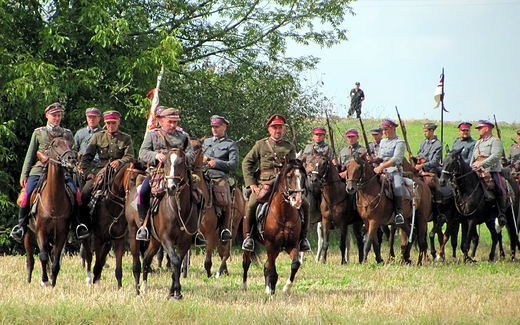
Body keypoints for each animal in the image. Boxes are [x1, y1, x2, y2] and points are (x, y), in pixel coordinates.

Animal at [23, 138, 77, 284]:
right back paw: (29, 280)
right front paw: (45, 281)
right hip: (29, 233)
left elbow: (56, 260)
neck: (54, 202)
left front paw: (53, 283)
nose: (71, 158)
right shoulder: (41, 231)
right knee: (30, 259)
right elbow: (43, 256)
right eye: (56, 145)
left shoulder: (62, 234)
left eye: (70, 144)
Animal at [139, 145, 202, 298]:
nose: (171, 187)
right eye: (166, 162)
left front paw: (172, 292)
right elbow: (175, 260)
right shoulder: (166, 239)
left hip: (155, 241)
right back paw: (143, 287)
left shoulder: (185, 242)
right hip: (155, 239)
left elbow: (177, 263)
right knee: (146, 258)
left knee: (147, 258)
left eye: (182, 162)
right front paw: (177, 292)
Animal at [192, 138, 247, 278]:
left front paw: (209, 274)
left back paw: (220, 270)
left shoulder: (210, 234)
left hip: (232, 227)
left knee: (226, 251)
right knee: (222, 251)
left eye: (198, 146)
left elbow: (208, 259)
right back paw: (224, 271)